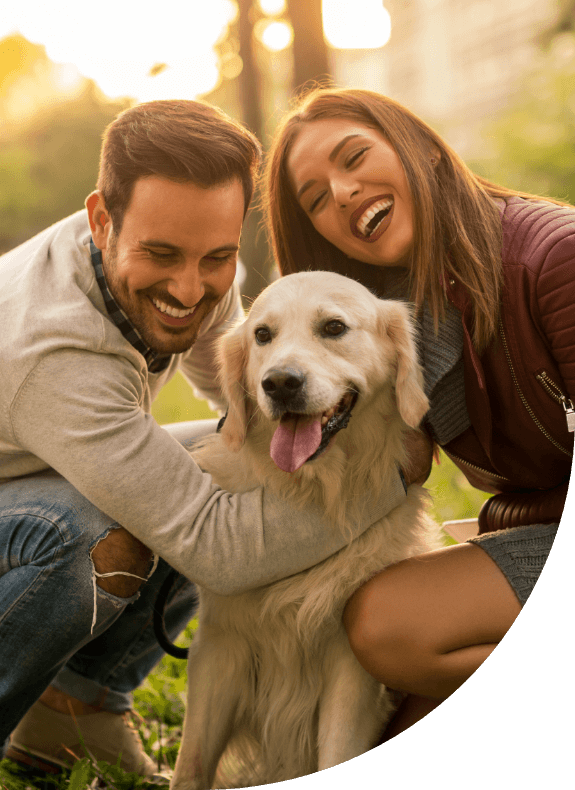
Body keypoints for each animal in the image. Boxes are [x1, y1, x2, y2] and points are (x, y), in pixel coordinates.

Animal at [170, 270, 440, 788]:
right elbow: (191, 765)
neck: (313, 493)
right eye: (262, 335)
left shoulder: (349, 664)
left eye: (334, 327)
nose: (279, 382)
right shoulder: (220, 645)